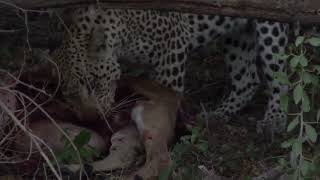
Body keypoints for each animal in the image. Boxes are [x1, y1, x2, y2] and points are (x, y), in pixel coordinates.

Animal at [52, 5, 290, 138]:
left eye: (92, 84)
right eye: (69, 96)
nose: (90, 120)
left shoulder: (172, 48)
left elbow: (167, 96)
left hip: (271, 25)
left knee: (280, 76)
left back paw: (273, 120)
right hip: (237, 33)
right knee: (247, 80)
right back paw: (218, 115)